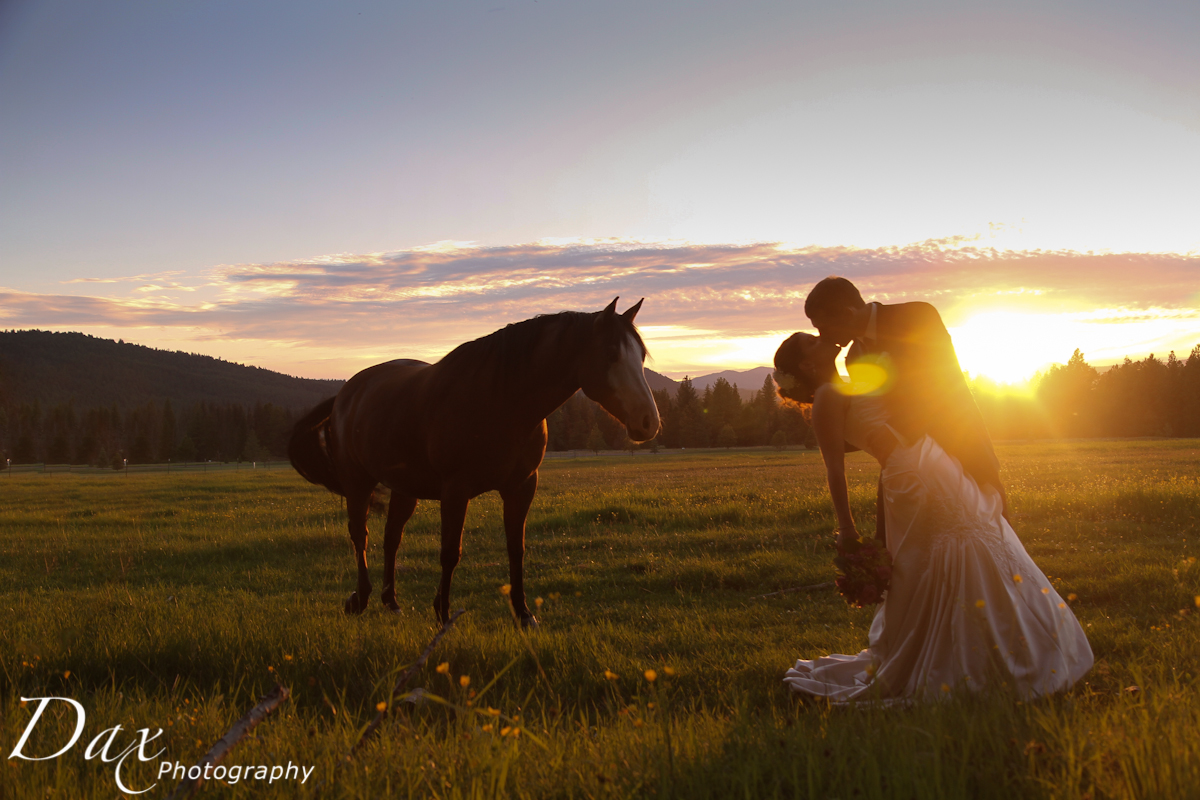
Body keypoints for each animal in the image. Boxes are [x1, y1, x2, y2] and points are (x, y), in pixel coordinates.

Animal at [286, 298, 662, 623]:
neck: (502, 400)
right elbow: (450, 552)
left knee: (392, 537)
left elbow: (516, 548)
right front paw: (442, 614)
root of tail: (346, 394)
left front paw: (523, 614)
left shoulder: (522, 486)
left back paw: (391, 601)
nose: (649, 422)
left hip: (404, 489)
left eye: (641, 356)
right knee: (359, 534)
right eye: (611, 354)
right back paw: (360, 599)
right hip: (358, 483)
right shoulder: (456, 490)